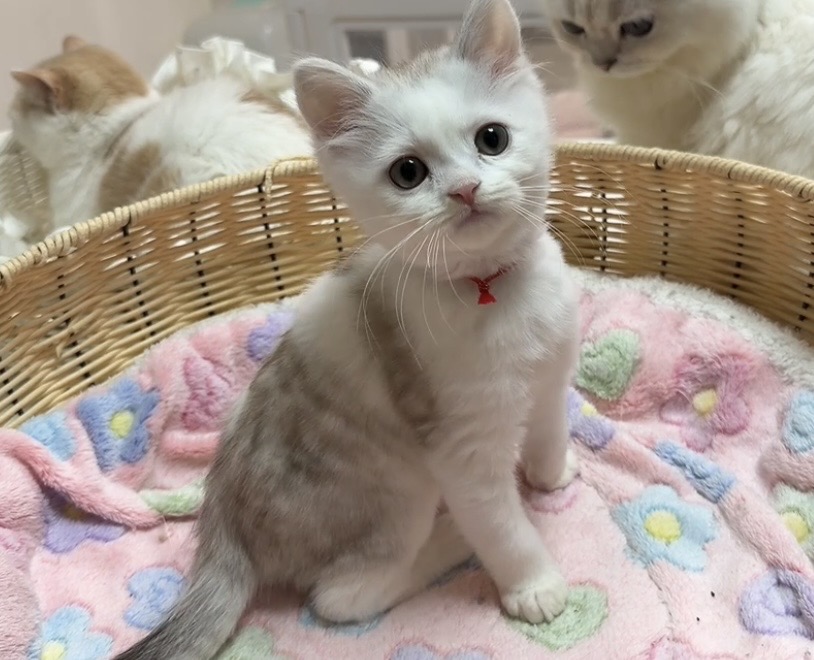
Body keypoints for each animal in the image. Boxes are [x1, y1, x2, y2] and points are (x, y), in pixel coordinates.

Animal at [114, 0, 580, 657]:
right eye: (408, 172)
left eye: (493, 138)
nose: (465, 190)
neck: (494, 289)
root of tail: (223, 527)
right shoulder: (459, 447)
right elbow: (500, 525)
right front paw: (533, 584)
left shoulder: (551, 375)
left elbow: (548, 427)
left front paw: (551, 472)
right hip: (397, 490)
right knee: (340, 598)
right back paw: (447, 545)